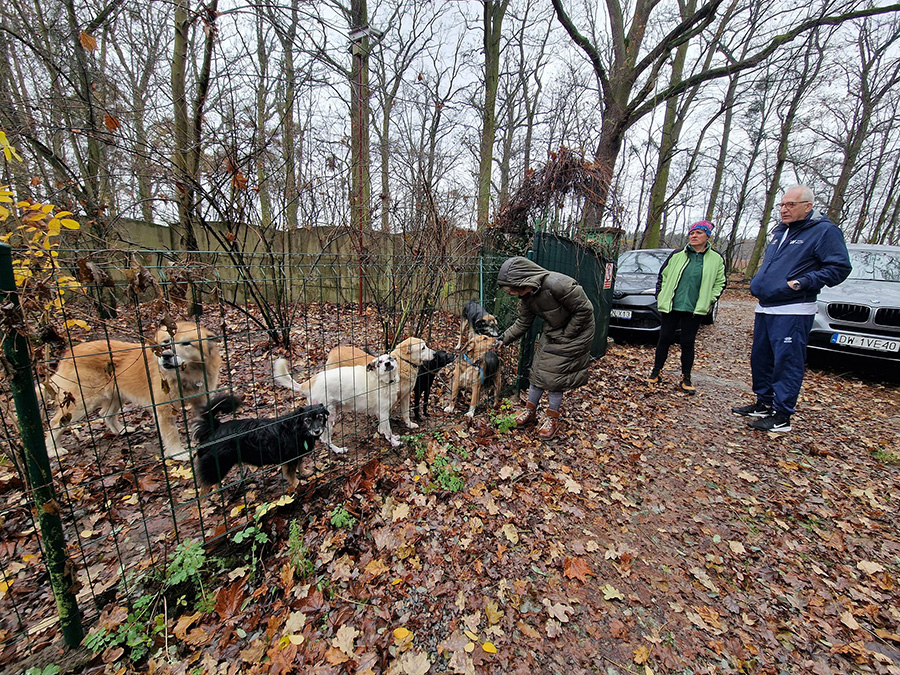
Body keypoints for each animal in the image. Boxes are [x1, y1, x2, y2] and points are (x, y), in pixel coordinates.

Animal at [44, 322, 223, 460]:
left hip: (116, 396)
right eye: (165, 341)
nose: (165, 355)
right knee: (54, 424)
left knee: (106, 414)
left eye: (186, 343)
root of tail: (69, 353)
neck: (188, 375)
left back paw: (122, 430)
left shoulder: (202, 400)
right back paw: (53, 451)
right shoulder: (164, 409)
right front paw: (179, 453)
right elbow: (172, 434)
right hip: (81, 403)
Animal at [272, 354, 400, 454]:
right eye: (379, 362)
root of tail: (308, 383)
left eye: (390, 358)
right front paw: (394, 442)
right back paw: (339, 450)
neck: (383, 381)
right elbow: (388, 431)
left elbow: (386, 429)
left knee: (323, 438)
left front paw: (393, 438)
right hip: (327, 417)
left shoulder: (381, 413)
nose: (387, 363)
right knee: (325, 439)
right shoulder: (383, 413)